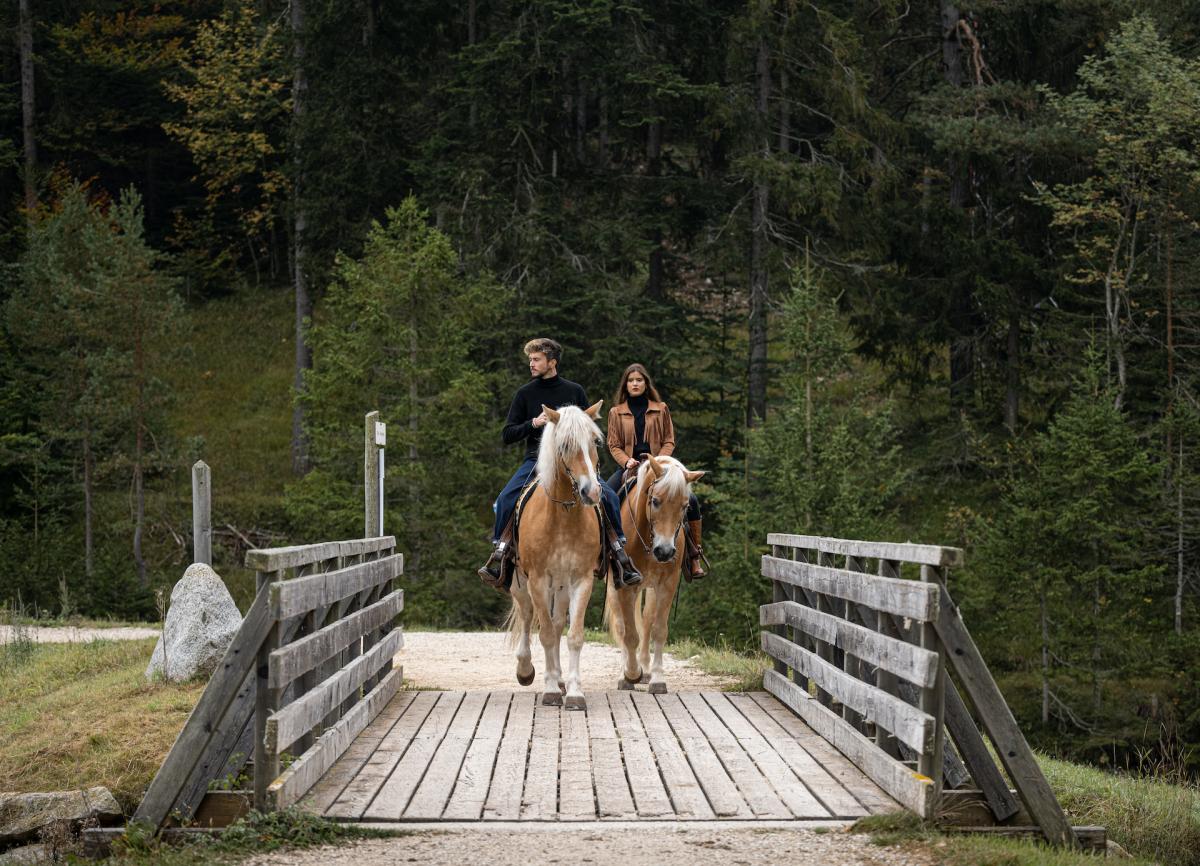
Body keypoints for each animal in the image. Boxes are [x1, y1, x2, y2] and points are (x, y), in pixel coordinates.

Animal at [506, 400, 604, 705]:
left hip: (560, 587)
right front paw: (549, 690)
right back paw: (526, 670)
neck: (562, 518)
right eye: (565, 445)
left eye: (594, 441)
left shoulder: (581, 580)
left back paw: (560, 678)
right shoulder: (537, 580)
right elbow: (546, 634)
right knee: (528, 616)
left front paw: (573, 692)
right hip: (521, 583)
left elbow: (573, 635)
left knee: (559, 622)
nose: (591, 492)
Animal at [609, 450, 700, 686]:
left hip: (650, 587)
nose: (665, 552)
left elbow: (658, 629)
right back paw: (626, 672)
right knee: (621, 625)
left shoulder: (667, 583)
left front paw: (657, 677)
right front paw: (632, 673)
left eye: (685, 506)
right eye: (655, 501)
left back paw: (646, 669)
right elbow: (630, 633)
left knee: (648, 618)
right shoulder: (626, 586)